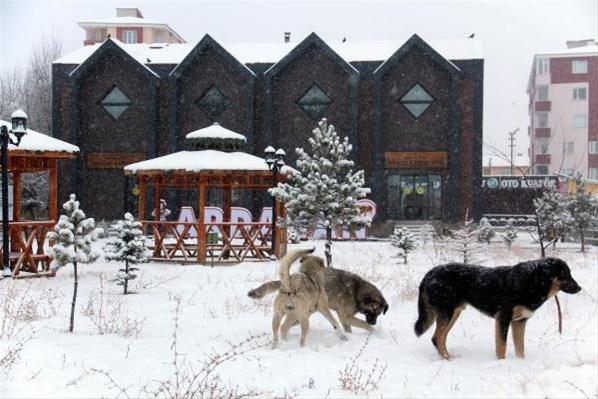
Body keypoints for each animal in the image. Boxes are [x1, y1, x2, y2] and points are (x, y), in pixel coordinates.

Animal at [418, 258, 580, 360]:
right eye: (566, 274)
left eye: (570, 273)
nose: (580, 288)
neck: (532, 282)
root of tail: (430, 273)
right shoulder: (503, 319)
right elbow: (501, 347)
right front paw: (501, 364)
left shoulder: (519, 321)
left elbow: (520, 349)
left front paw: (520, 363)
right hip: (448, 313)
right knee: (438, 338)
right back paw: (448, 359)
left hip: (454, 313)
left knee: (438, 338)